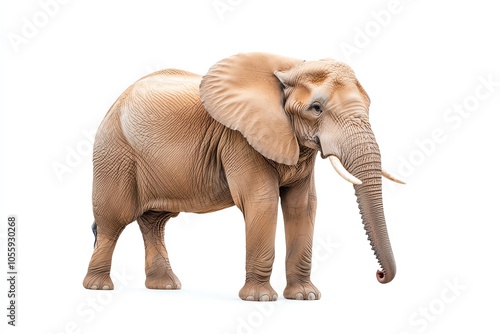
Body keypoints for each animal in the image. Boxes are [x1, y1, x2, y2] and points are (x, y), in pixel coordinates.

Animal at [82, 51, 402, 300]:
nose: (379, 274)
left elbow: (303, 206)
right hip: (114, 152)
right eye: (316, 108)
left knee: (154, 223)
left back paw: (165, 287)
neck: (289, 68)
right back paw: (99, 288)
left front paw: (305, 296)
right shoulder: (239, 139)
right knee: (113, 221)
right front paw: (260, 298)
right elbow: (262, 201)